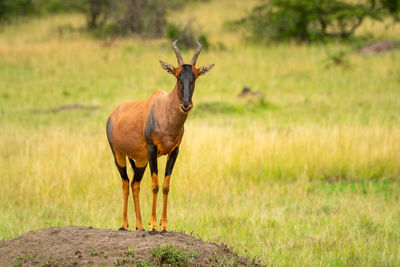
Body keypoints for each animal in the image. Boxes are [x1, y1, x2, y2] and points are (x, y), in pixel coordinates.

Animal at [105, 40, 212, 233]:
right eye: (177, 76)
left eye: (195, 76)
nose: (186, 105)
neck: (164, 109)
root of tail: (114, 114)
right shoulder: (152, 150)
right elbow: (154, 185)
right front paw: (154, 225)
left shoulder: (174, 152)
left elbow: (165, 186)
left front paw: (163, 225)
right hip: (118, 154)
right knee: (125, 183)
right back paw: (124, 224)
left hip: (141, 160)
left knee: (135, 184)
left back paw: (140, 226)